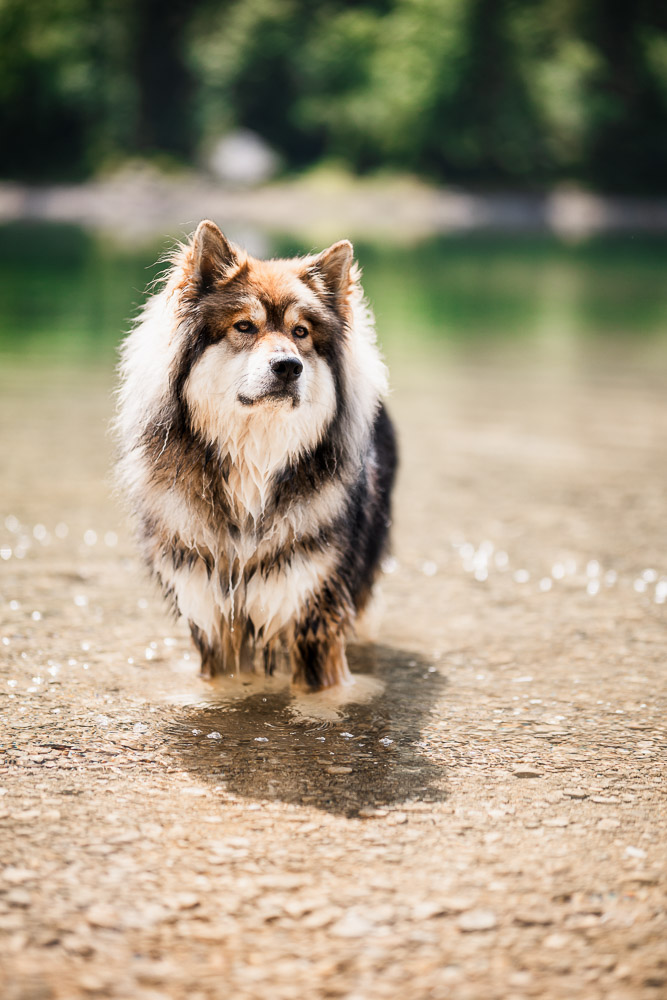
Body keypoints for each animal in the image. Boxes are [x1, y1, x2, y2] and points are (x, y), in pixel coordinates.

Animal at [115, 221, 396, 688]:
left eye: (300, 333)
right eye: (245, 326)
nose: (288, 366)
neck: (255, 464)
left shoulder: (313, 611)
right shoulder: (211, 616)